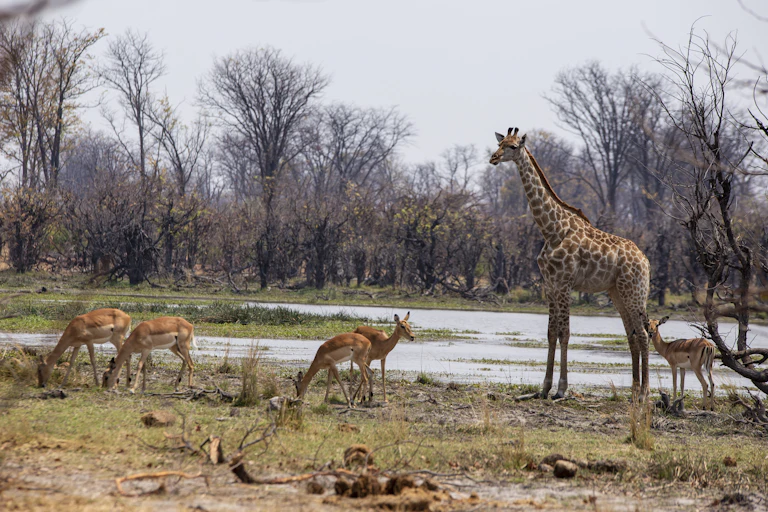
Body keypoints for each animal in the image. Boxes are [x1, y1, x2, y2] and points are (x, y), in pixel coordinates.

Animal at [490, 127, 651, 400]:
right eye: (500, 143)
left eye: (513, 146)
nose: (493, 157)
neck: (552, 230)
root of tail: (646, 261)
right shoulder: (550, 285)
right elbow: (551, 333)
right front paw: (544, 387)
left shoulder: (565, 284)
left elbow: (564, 333)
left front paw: (561, 389)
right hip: (617, 292)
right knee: (631, 335)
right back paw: (633, 391)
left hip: (635, 292)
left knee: (643, 334)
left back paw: (644, 394)